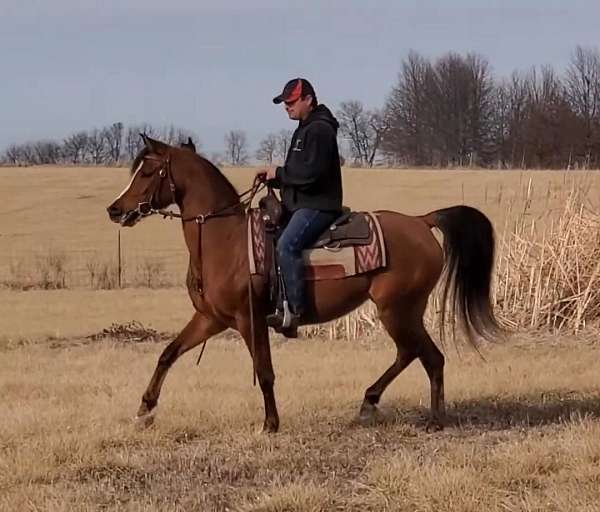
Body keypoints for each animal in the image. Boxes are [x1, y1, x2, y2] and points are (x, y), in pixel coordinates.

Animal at [105, 133, 500, 432]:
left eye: (147, 171)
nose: (114, 209)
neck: (225, 240)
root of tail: (421, 221)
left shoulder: (248, 320)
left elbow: (264, 371)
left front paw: (270, 424)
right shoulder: (211, 319)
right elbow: (167, 354)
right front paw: (144, 410)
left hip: (397, 310)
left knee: (429, 357)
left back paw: (434, 419)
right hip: (403, 312)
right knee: (410, 353)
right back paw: (369, 403)